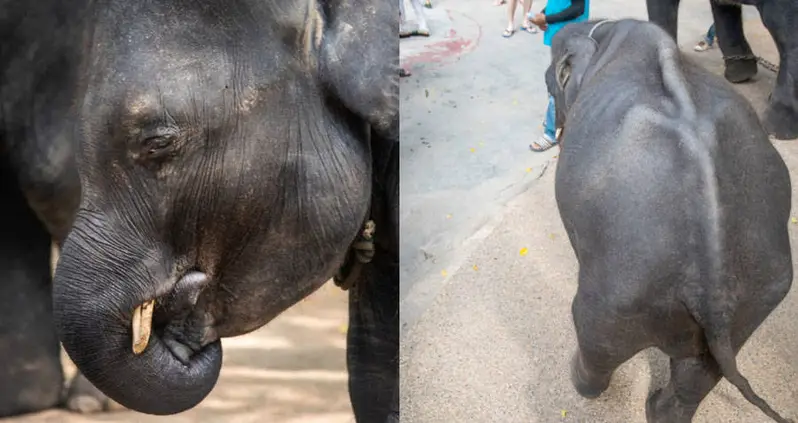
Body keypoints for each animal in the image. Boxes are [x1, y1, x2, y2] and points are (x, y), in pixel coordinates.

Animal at [546, 19, 792, 423]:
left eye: (551, 75)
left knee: (595, 340)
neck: (604, 33)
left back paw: (577, 379)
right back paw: (656, 409)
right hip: (759, 292)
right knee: (699, 372)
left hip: (617, 299)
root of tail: (712, 287)